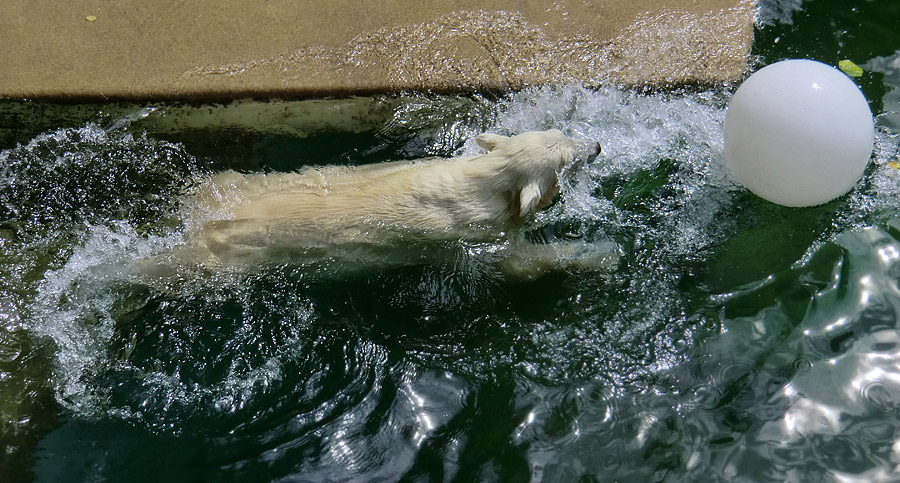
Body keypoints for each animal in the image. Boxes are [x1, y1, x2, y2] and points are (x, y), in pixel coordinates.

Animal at [160, 130, 612, 280]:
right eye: (569, 159)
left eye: (564, 131)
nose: (597, 145)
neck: (480, 183)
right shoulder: (476, 234)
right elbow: (520, 263)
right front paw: (603, 253)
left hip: (235, 183)